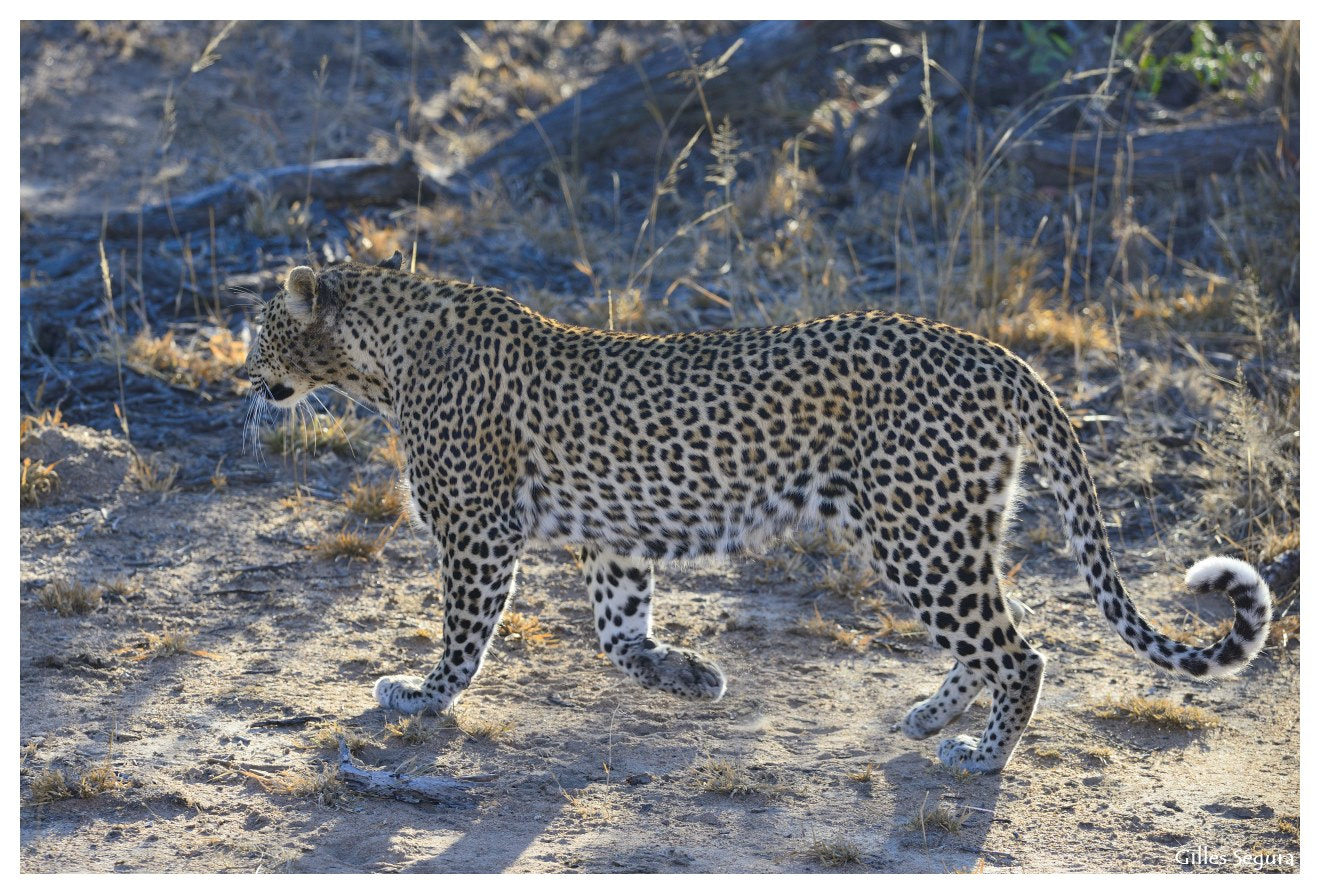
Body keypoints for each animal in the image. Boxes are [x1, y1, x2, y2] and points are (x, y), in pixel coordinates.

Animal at [242, 250, 1272, 776]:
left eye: (257, 327)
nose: (241, 376)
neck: (381, 358)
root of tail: (994, 352)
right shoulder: (616, 537)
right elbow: (618, 635)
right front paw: (692, 678)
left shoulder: (477, 532)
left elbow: (463, 638)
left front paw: (421, 698)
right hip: (939, 528)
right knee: (996, 637)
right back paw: (930, 719)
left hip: (920, 531)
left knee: (1019, 651)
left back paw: (979, 757)